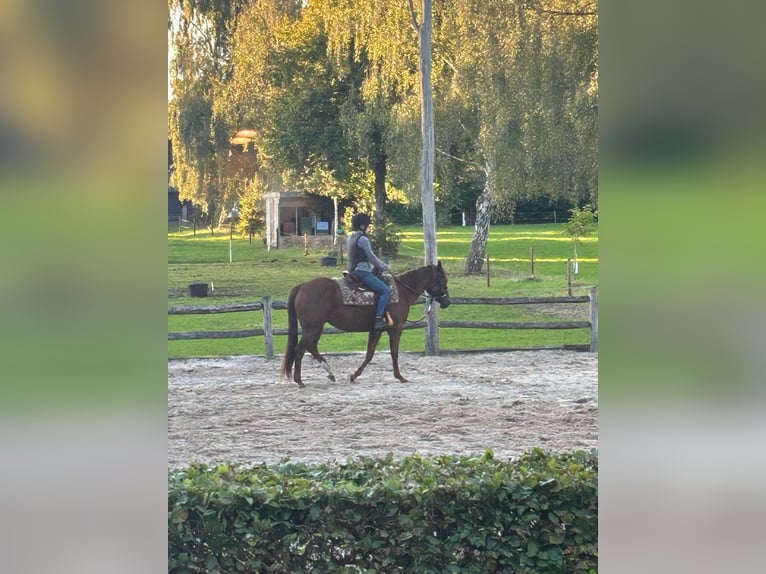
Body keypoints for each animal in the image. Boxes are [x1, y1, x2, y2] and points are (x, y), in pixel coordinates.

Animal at [280, 261, 451, 387]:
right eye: (443, 280)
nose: (447, 302)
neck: (402, 291)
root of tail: (302, 286)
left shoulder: (376, 330)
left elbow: (369, 354)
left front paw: (353, 376)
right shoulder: (396, 329)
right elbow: (394, 353)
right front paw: (400, 377)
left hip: (316, 328)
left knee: (311, 347)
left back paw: (330, 373)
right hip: (313, 328)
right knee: (300, 350)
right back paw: (299, 381)